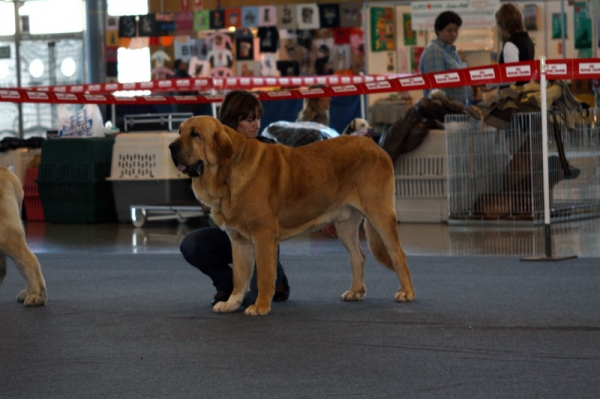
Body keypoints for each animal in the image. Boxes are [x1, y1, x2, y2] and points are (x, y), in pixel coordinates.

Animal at [168, 115, 412, 316]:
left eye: (195, 134)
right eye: (180, 131)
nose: (171, 146)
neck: (227, 175)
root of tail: (375, 145)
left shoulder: (263, 236)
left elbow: (265, 275)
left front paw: (260, 306)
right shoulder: (239, 241)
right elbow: (239, 277)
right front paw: (231, 303)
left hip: (380, 213)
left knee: (397, 254)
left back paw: (406, 292)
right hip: (345, 223)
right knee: (357, 256)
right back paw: (355, 291)